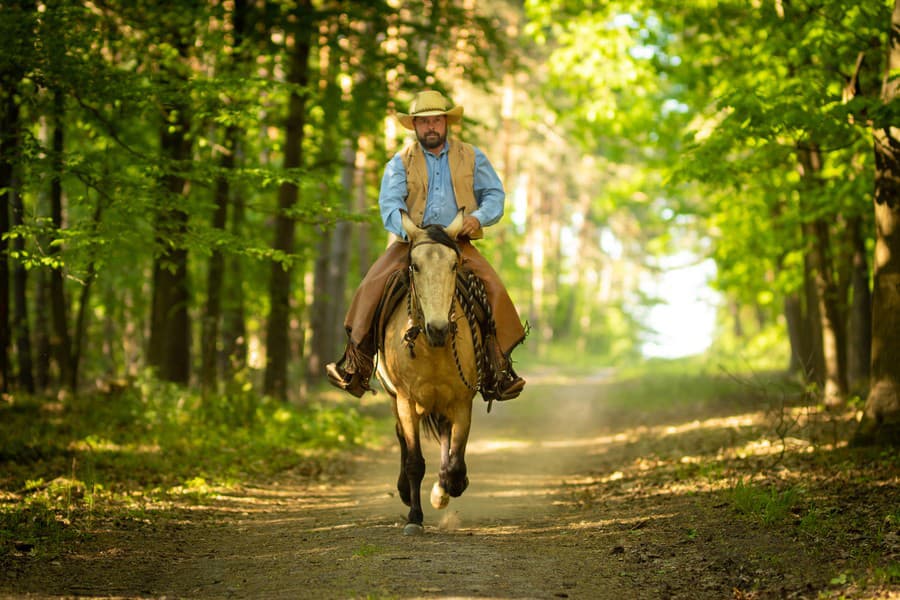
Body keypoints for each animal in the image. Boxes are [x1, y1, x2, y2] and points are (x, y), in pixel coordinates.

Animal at [376, 210, 482, 536]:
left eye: (454, 265)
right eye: (415, 265)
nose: (438, 329)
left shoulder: (462, 400)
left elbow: (455, 462)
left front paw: (446, 488)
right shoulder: (406, 400)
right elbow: (414, 461)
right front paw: (414, 516)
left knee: (446, 437)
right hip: (394, 397)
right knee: (401, 435)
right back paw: (404, 491)